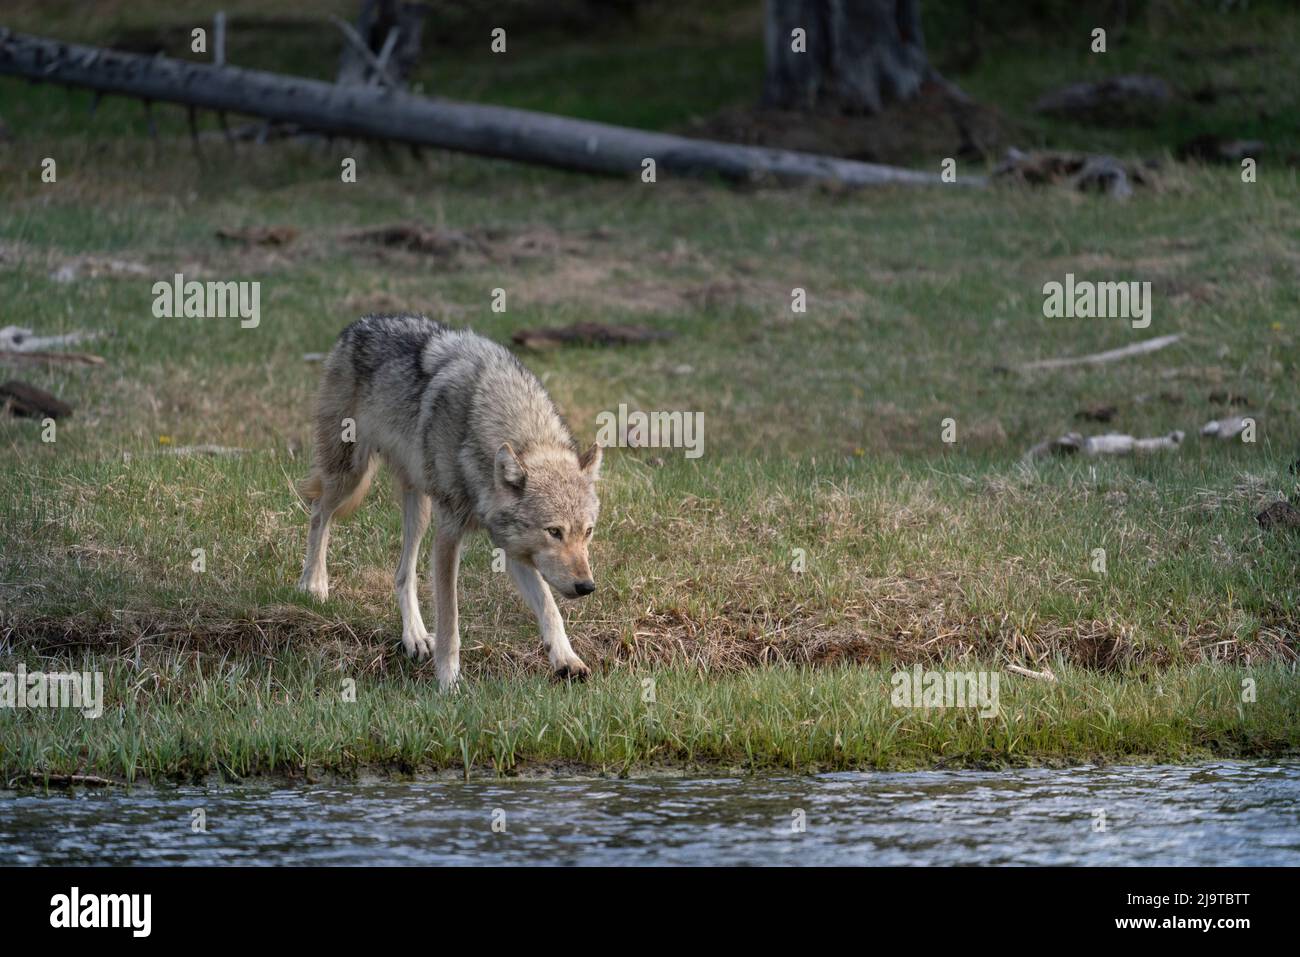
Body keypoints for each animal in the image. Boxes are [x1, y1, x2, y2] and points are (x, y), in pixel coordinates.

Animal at [297, 314, 600, 686]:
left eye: (587, 532)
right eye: (554, 532)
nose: (586, 586)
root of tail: (360, 323)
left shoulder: (512, 545)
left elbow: (549, 606)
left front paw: (566, 658)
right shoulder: (449, 535)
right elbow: (450, 620)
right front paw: (448, 680)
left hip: (419, 507)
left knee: (404, 574)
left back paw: (414, 635)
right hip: (349, 476)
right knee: (317, 511)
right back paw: (313, 583)